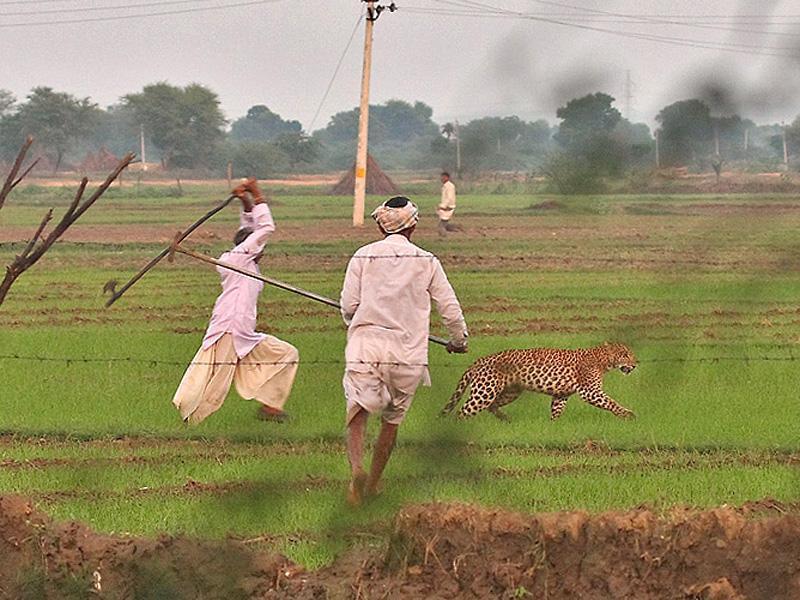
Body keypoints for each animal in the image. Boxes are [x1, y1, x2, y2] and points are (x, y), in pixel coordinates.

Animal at [438, 342, 636, 422]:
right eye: (625, 354)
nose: (635, 364)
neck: (603, 360)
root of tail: (478, 360)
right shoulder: (590, 391)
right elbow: (611, 402)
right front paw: (628, 414)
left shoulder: (561, 394)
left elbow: (556, 411)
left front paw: (553, 426)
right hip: (484, 391)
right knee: (463, 412)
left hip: (511, 391)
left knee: (492, 405)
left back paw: (506, 420)